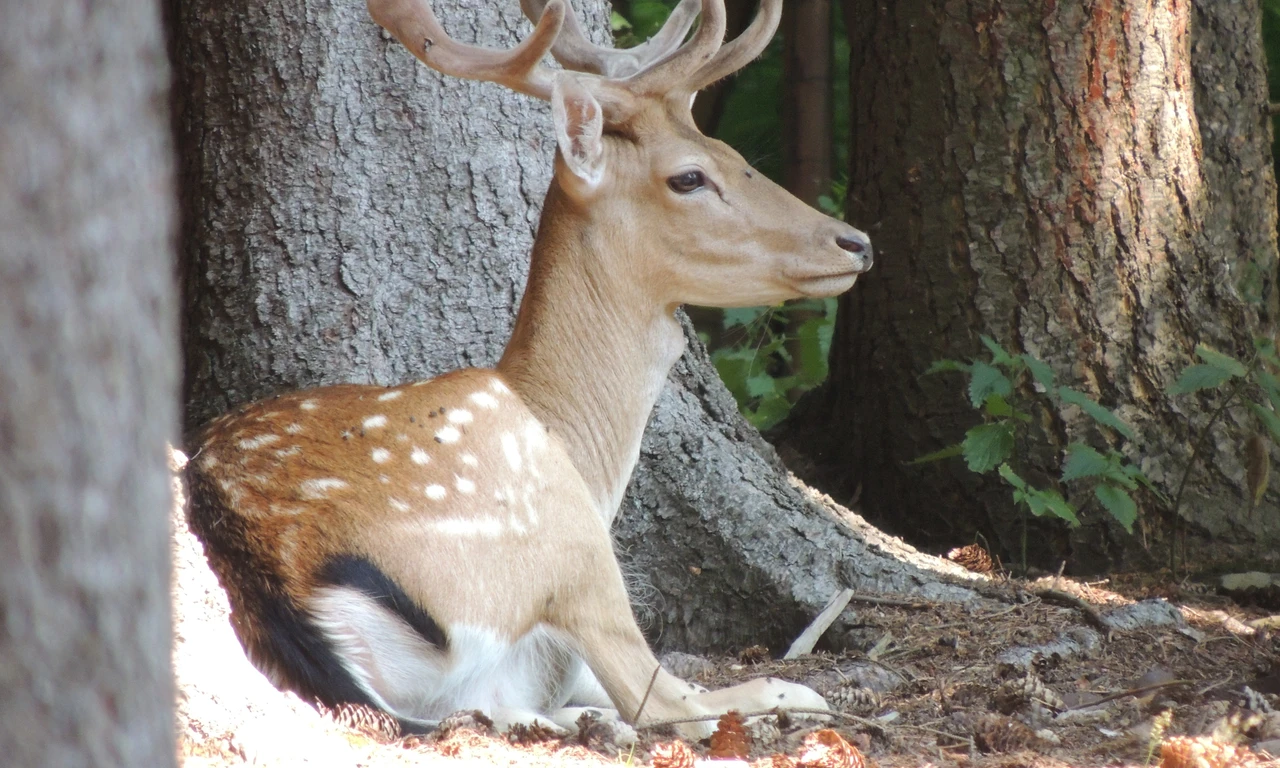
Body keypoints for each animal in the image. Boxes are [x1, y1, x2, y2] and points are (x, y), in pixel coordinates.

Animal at [185, 0, 875, 742]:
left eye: (737, 157)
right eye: (688, 176)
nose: (855, 241)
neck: (568, 426)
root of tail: (272, 575)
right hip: (561, 539)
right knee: (671, 700)